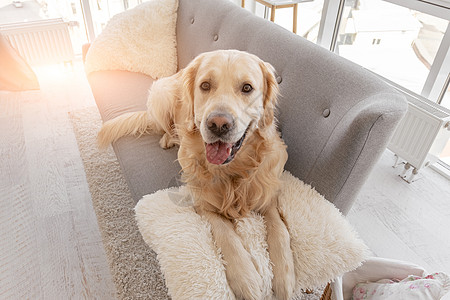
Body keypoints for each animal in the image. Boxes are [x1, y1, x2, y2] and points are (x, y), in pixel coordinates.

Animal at [97, 50, 296, 298]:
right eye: (205, 85)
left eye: (247, 88)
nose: (218, 124)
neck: (234, 171)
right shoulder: (203, 203)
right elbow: (227, 237)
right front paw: (246, 279)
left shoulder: (268, 196)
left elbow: (280, 231)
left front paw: (285, 279)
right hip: (161, 94)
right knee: (165, 126)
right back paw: (169, 137)